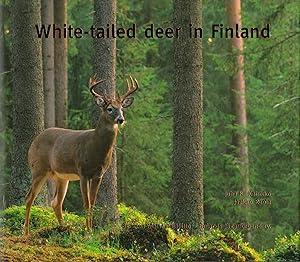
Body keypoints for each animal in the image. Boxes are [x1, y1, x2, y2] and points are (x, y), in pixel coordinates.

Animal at [23, 73, 138, 235]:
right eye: (109, 108)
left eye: (122, 108)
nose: (120, 119)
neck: (95, 149)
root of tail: (34, 141)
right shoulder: (83, 172)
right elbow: (86, 203)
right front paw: (88, 231)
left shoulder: (99, 174)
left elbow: (93, 202)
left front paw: (91, 229)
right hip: (39, 168)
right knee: (29, 198)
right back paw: (26, 233)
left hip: (61, 177)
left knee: (56, 203)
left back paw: (64, 228)